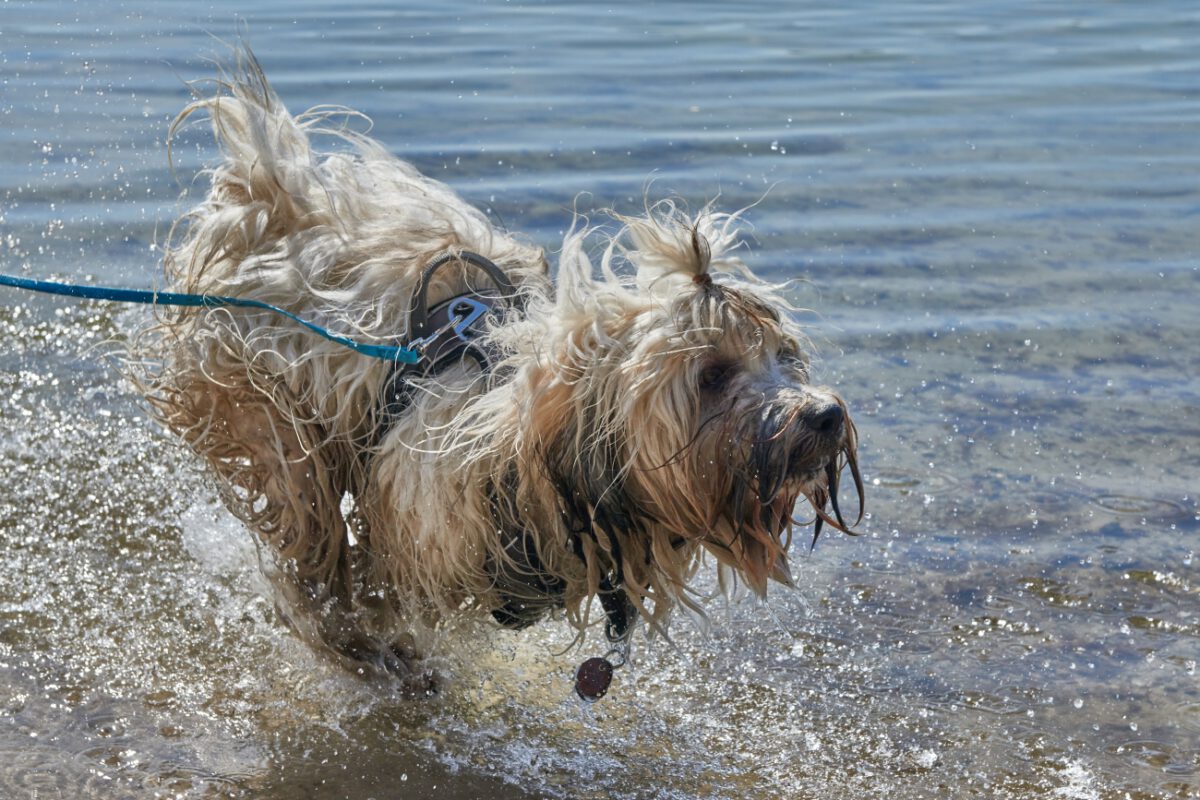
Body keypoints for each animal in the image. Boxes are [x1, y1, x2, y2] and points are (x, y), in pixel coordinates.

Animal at [133, 53, 864, 695]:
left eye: (785, 356)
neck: (521, 451)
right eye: (712, 374)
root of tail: (272, 192)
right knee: (308, 530)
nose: (824, 414)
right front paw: (380, 654)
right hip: (263, 412)